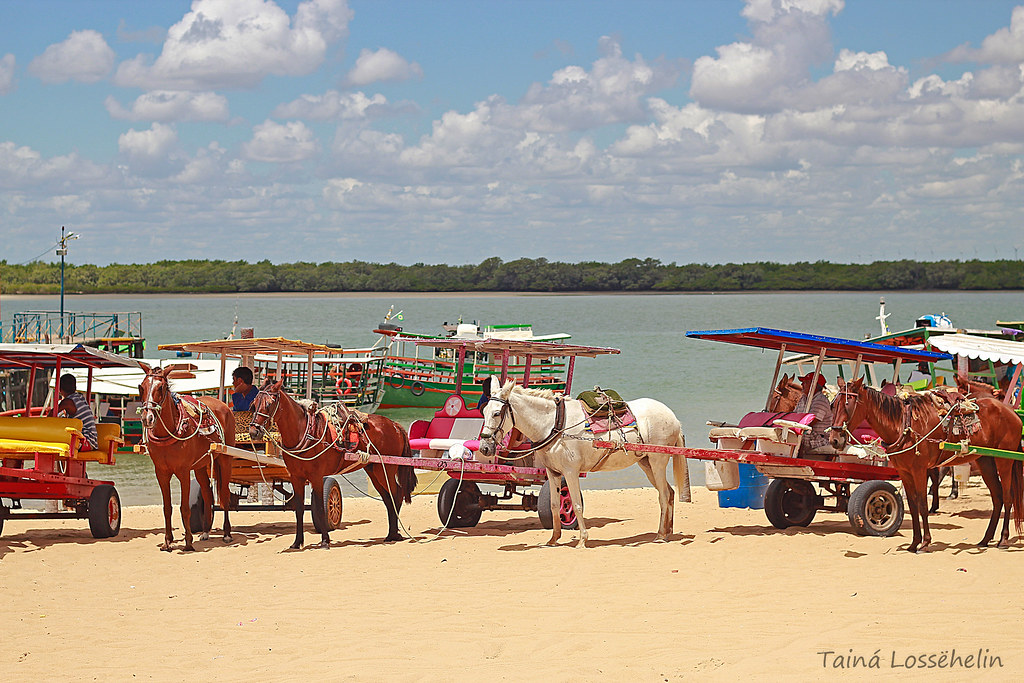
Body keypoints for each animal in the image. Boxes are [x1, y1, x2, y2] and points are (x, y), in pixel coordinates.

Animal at [138, 366, 235, 552]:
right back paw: (205, 532)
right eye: (141, 387)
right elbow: (167, 508)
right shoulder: (161, 473)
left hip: (225, 460)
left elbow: (184, 508)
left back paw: (227, 534)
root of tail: (224, 405)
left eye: (161, 387)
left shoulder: (183, 472)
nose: (147, 418)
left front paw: (189, 542)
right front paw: (167, 541)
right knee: (207, 495)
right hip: (200, 466)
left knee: (225, 495)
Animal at [249, 376, 417, 548]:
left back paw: (394, 533)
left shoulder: (316, 476)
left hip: (386, 469)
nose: (254, 431)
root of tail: (394, 425)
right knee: (388, 499)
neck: (304, 432)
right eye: (254, 404)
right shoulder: (296, 477)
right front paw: (297, 542)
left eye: (269, 404)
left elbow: (320, 508)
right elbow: (299, 509)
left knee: (396, 495)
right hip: (374, 470)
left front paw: (325, 540)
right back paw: (392, 533)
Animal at [477, 376, 688, 548]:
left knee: (663, 495)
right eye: (484, 411)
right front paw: (553, 539)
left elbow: (576, 504)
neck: (554, 424)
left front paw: (582, 540)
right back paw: (667, 532)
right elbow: (554, 505)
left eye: (497, 413)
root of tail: (672, 416)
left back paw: (660, 535)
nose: (484, 447)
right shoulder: (552, 472)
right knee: (669, 493)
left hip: (657, 461)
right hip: (645, 463)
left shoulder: (571, 472)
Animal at [831, 376, 1024, 552]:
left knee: (1008, 497)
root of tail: (1011, 412)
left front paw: (925, 543)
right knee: (997, 497)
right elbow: (913, 506)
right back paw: (985, 539)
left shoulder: (919, 470)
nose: (834, 440)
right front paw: (914, 543)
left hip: (1004, 460)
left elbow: (923, 504)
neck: (903, 424)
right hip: (986, 461)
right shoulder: (905, 472)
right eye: (833, 405)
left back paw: (1003, 540)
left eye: (848, 404)